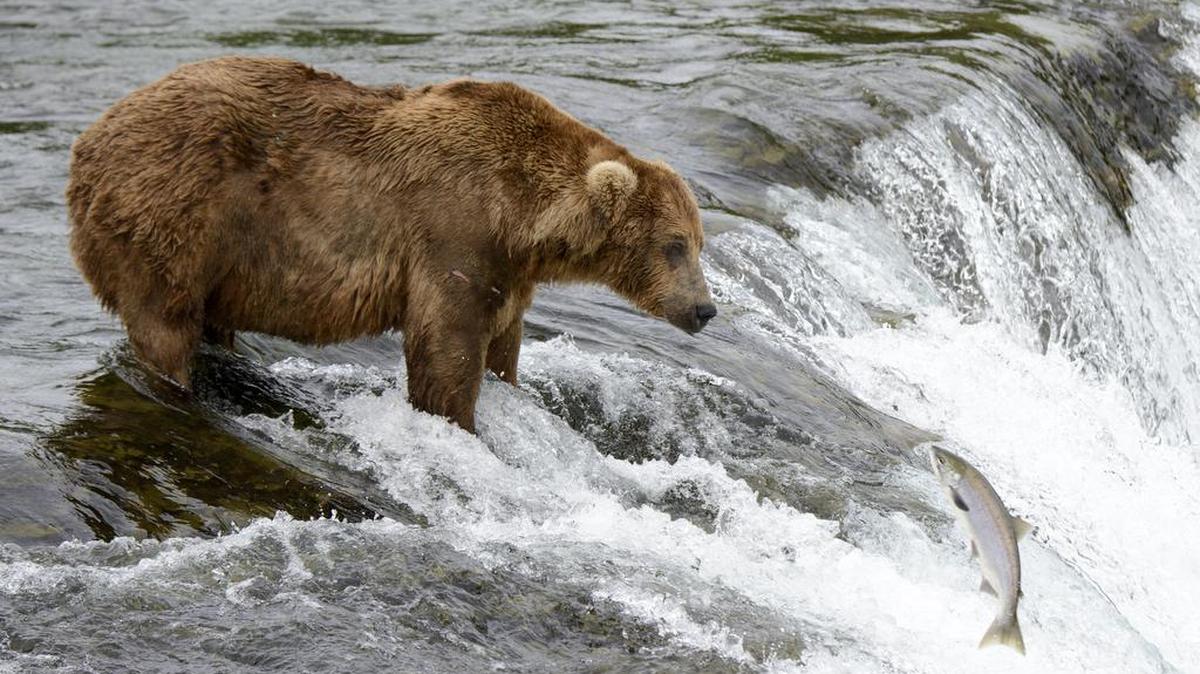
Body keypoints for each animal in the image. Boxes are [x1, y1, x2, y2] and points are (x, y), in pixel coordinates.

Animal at [66, 56, 717, 433]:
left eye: (699, 242)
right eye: (674, 245)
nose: (705, 309)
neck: (522, 217)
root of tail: (87, 142)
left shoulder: (508, 271)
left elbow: (503, 343)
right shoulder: (454, 231)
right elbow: (445, 348)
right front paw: (458, 422)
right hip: (173, 218)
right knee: (164, 322)